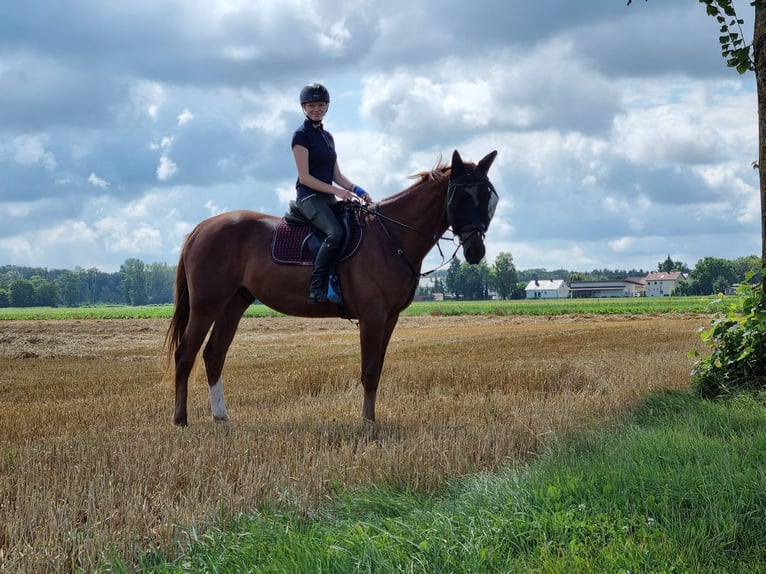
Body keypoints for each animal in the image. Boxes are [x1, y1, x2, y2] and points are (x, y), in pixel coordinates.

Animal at [165, 149, 499, 426]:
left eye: (489, 197)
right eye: (461, 197)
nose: (476, 251)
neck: (389, 235)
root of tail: (200, 229)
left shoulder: (389, 318)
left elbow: (377, 369)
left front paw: (370, 420)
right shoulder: (372, 317)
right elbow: (369, 372)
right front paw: (367, 424)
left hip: (234, 303)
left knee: (214, 354)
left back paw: (221, 417)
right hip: (206, 305)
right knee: (185, 354)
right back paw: (180, 419)